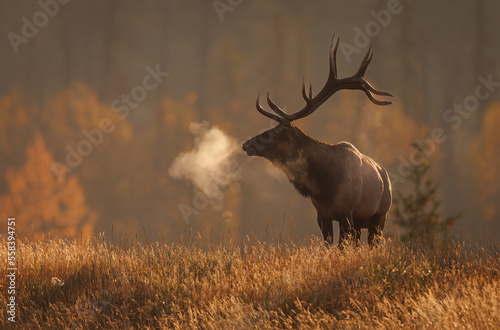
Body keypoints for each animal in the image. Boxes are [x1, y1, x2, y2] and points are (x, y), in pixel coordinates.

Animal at [243, 36, 394, 248]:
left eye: (273, 135)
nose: (246, 144)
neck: (325, 185)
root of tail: (386, 176)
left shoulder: (347, 214)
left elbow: (341, 247)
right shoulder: (322, 214)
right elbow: (329, 245)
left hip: (380, 216)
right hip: (360, 222)